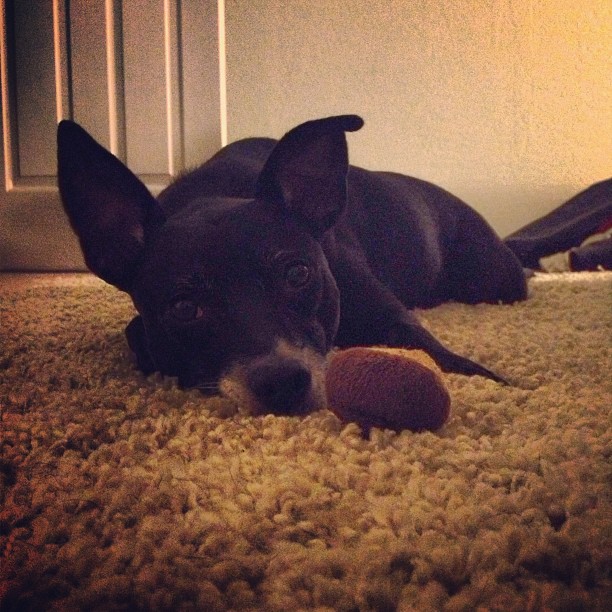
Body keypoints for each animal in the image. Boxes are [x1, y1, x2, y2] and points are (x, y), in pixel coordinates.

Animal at [58, 115, 524, 416]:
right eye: (184, 307)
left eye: (297, 273)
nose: (281, 382)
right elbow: (137, 335)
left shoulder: (394, 320)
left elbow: (444, 356)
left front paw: (501, 386)